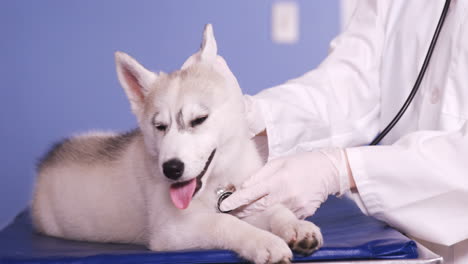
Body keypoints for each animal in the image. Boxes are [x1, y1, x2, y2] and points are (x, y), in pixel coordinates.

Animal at [32, 24, 322, 264]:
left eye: (199, 119)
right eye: (159, 126)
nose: (171, 169)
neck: (217, 182)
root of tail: (51, 158)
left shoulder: (247, 200)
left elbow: (275, 210)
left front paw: (295, 226)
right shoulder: (173, 230)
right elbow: (224, 224)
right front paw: (263, 241)